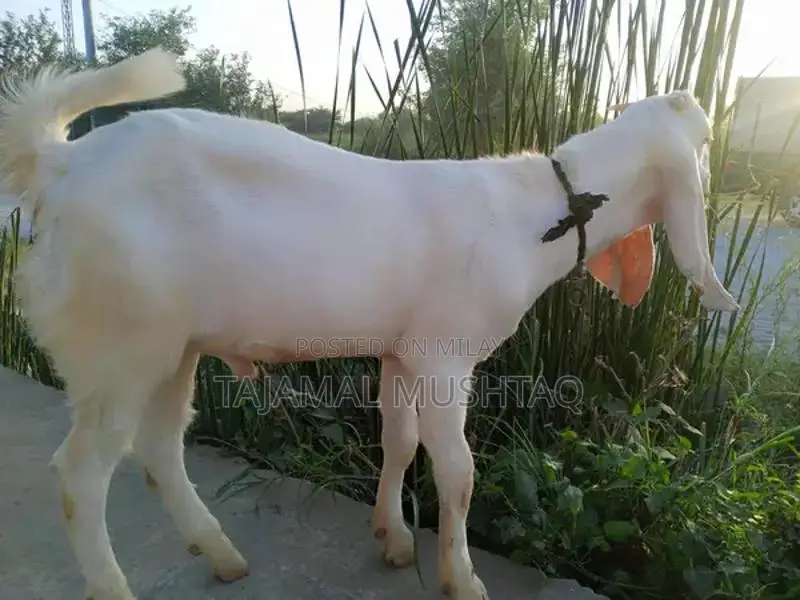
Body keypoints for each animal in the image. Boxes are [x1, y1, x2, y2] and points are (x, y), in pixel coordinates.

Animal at [0, 48, 738, 600]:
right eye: (703, 137)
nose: (699, 102)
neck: (539, 213)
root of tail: (58, 165)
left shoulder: (400, 352)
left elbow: (400, 443)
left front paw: (394, 537)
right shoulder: (444, 355)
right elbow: (458, 470)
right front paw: (460, 577)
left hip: (170, 344)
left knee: (158, 448)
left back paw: (223, 555)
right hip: (117, 343)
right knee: (81, 473)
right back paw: (116, 584)